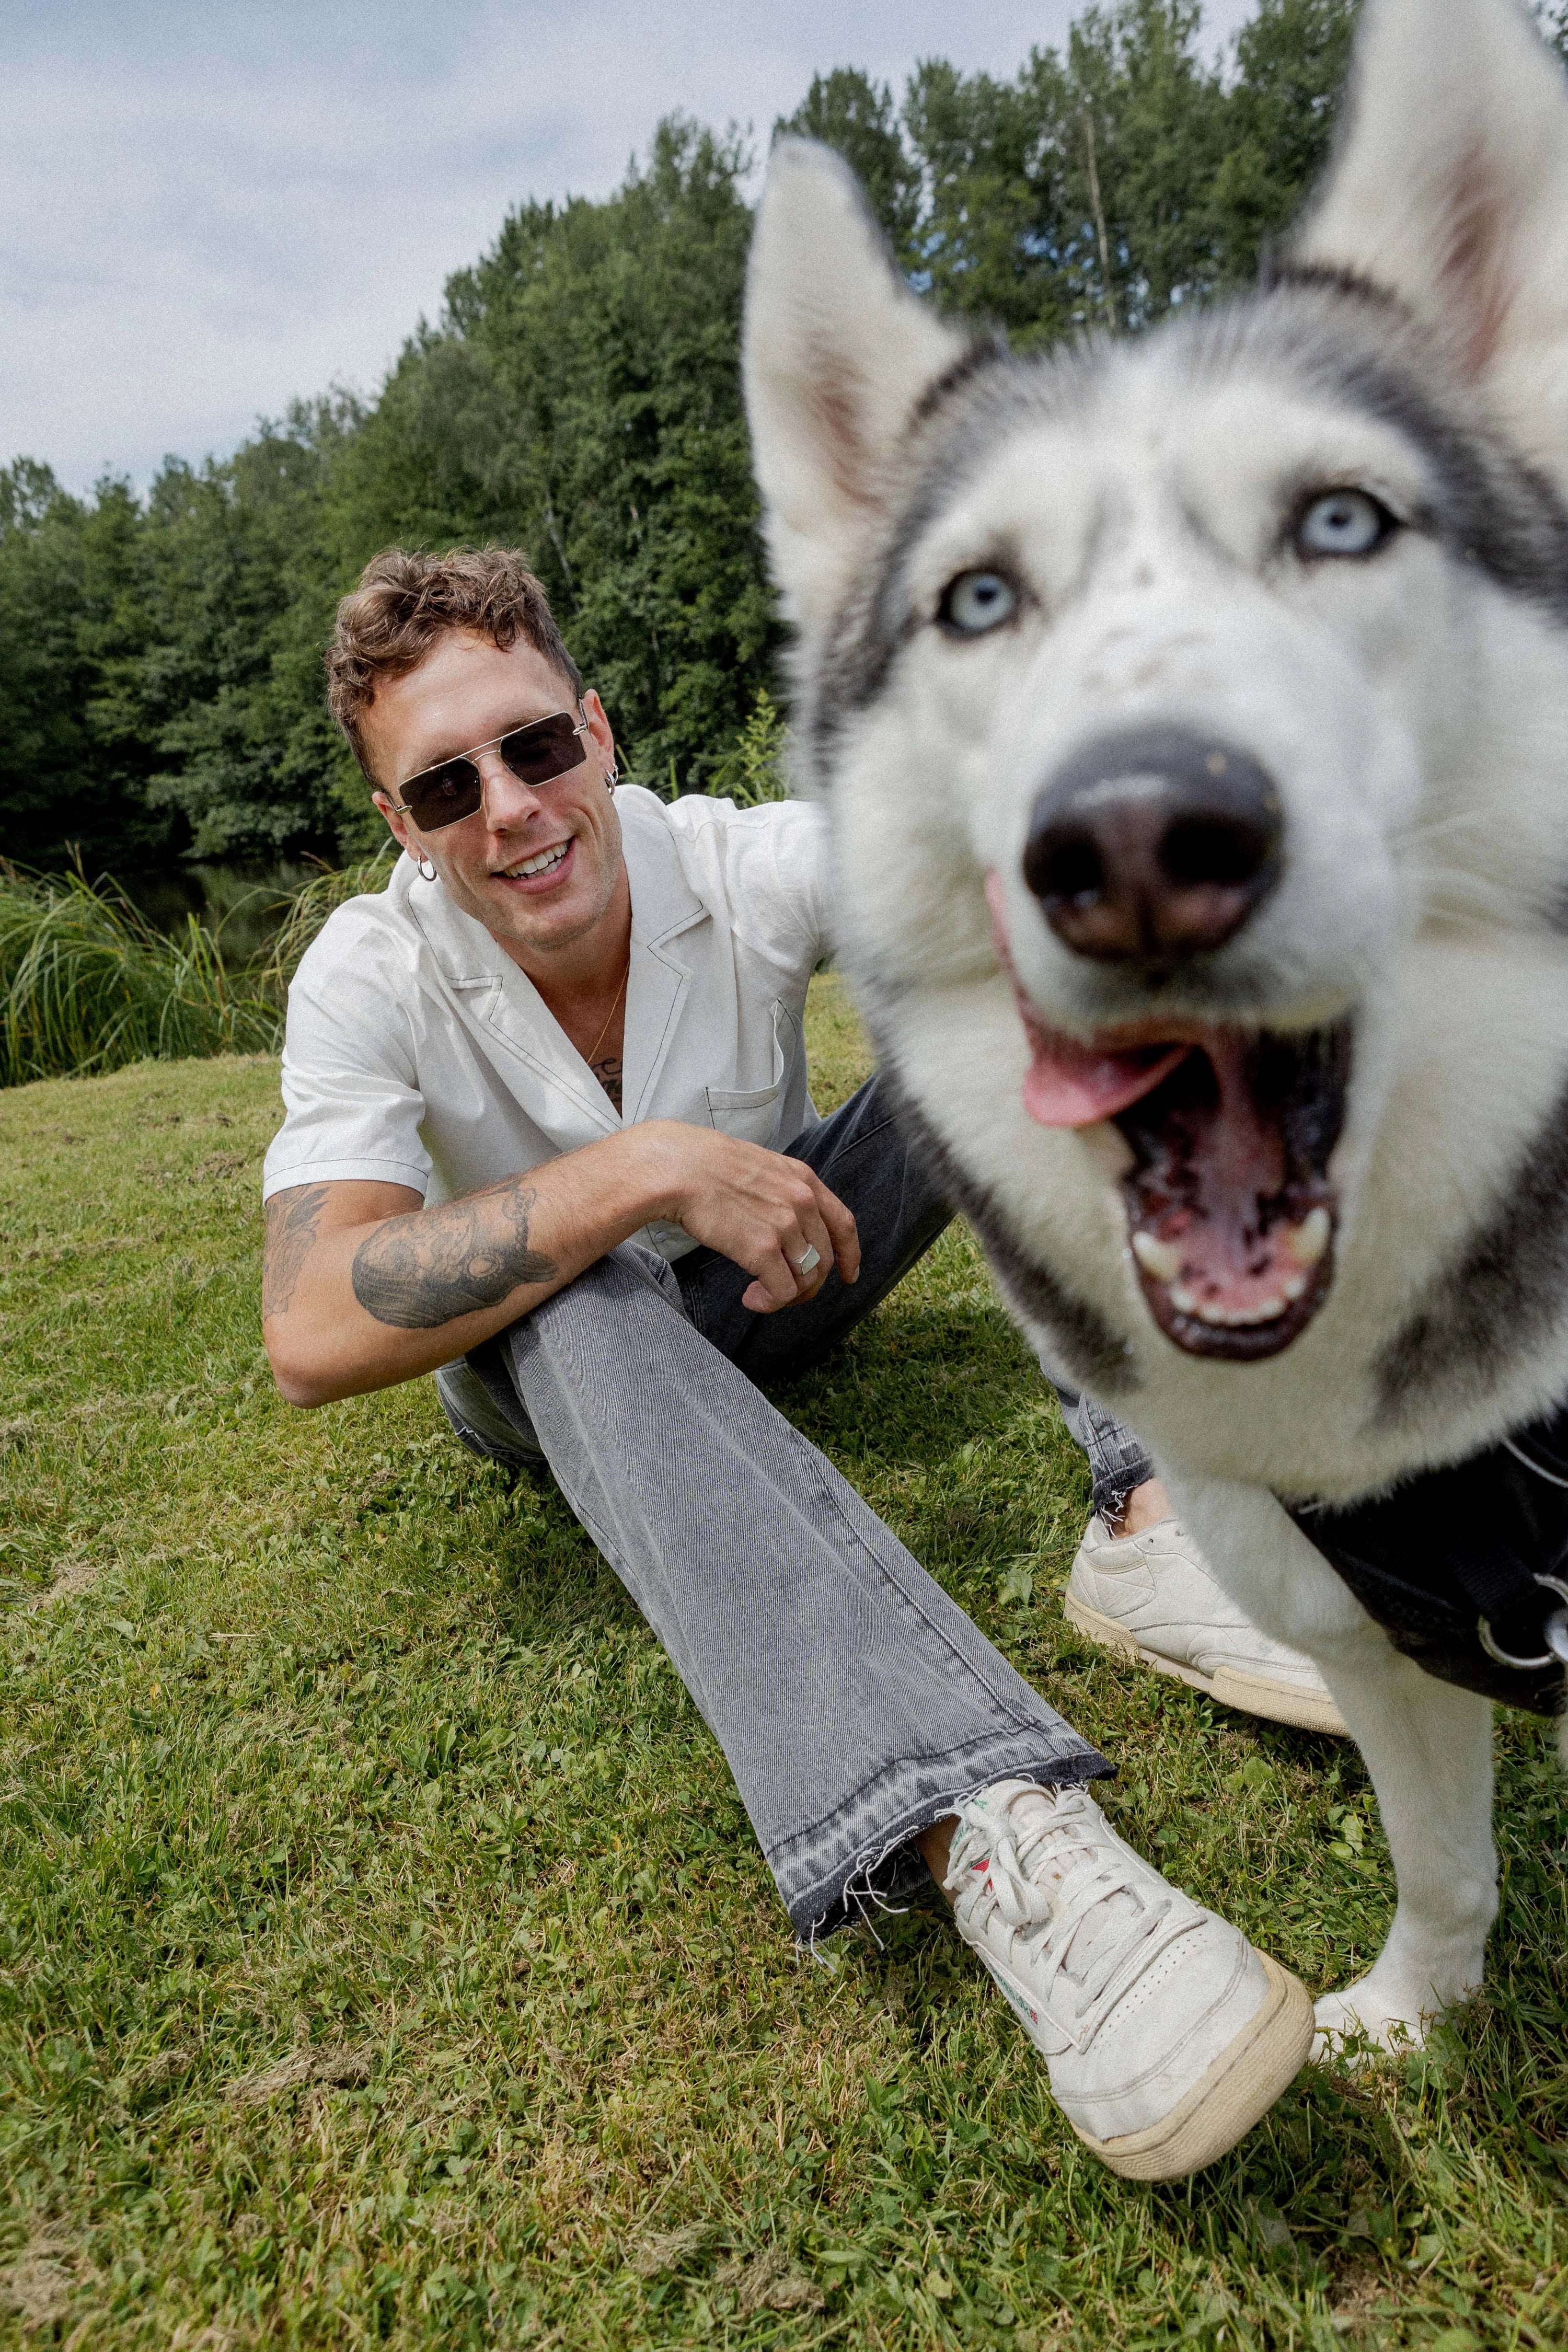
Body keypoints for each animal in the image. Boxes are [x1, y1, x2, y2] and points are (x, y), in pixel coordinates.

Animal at [747, 0, 1568, 2060]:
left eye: (1341, 522)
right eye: (979, 599)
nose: (1131, 847)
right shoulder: (1381, 1638)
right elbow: (1441, 1862)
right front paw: (1414, 2017)